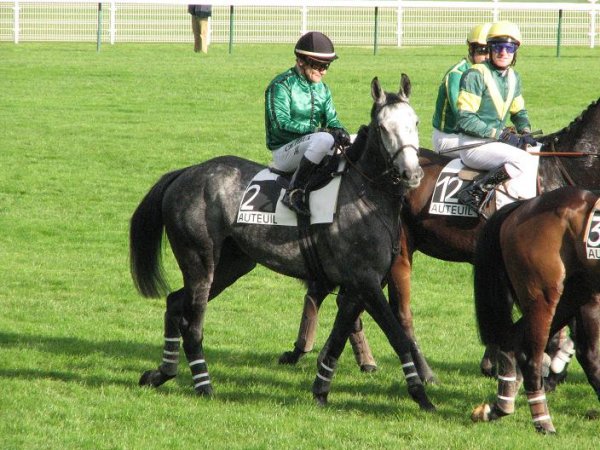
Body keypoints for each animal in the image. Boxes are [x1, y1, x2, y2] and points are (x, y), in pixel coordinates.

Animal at [129, 76, 436, 412]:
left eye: (415, 122)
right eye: (383, 127)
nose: (412, 173)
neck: (363, 194)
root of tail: (185, 173)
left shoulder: (358, 287)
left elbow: (339, 338)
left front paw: (321, 390)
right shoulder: (365, 282)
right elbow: (397, 336)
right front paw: (421, 394)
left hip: (232, 265)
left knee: (174, 303)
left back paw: (161, 373)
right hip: (200, 262)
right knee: (193, 325)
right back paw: (203, 385)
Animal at [472, 186, 600, 432]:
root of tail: (521, 207)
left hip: (576, 294)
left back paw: (500, 406)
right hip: (544, 296)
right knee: (532, 358)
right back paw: (543, 421)